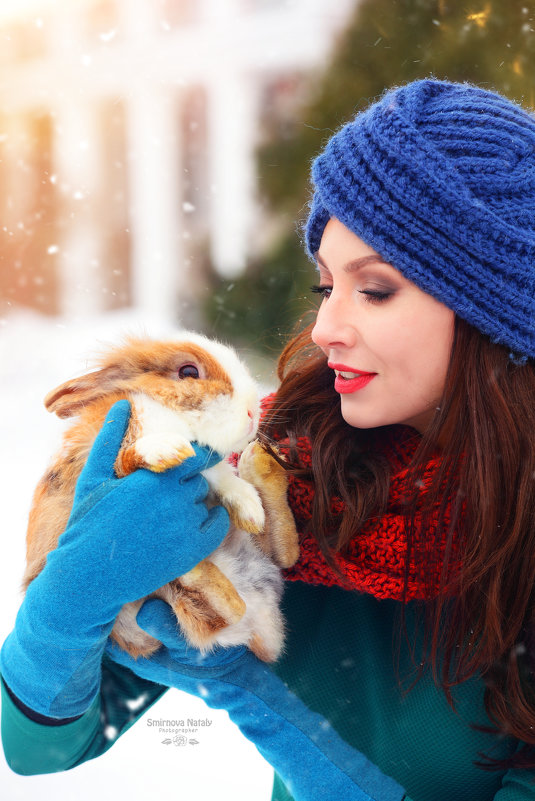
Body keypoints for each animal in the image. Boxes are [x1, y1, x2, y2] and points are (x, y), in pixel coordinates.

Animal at [24, 332, 302, 664]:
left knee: (283, 555)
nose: (252, 413)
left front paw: (251, 510)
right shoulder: (115, 455)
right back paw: (186, 564)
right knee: (230, 608)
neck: (167, 414)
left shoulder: (214, 473)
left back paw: (260, 465)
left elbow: (226, 481)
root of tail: (262, 626)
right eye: (189, 372)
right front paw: (169, 450)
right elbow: (131, 457)